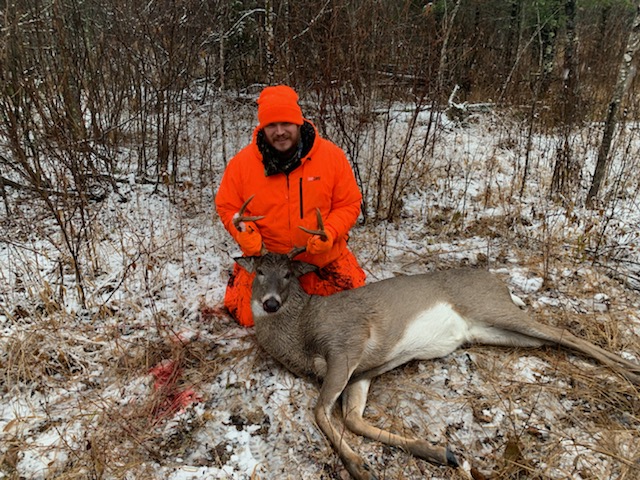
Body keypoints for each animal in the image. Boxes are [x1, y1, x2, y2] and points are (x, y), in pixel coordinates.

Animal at [232, 200, 640, 480]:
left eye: (288, 273)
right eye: (260, 271)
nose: (270, 303)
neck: (302, 328)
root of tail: (498, 281)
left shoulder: (346, 345)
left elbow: (319, 412)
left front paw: (359, 466)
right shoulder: (363, 372)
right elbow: (353, 420)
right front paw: (441, 453)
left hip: (493, 309)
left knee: (563, 332)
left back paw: (630, 373)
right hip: (494, 332)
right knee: (552, 341)